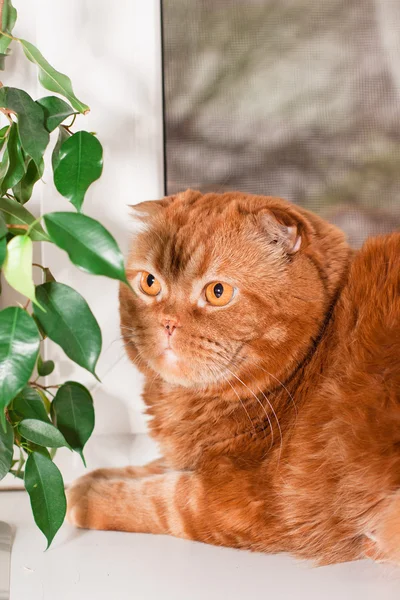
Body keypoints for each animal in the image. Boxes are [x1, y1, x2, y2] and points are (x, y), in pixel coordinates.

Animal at [66, 190, 400, 564]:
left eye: (218, 292)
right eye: (150, 283)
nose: (167, 322)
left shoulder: (255, 501)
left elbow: (164, 497)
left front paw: (87, 494)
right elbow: (158, 467)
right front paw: (95, 476)